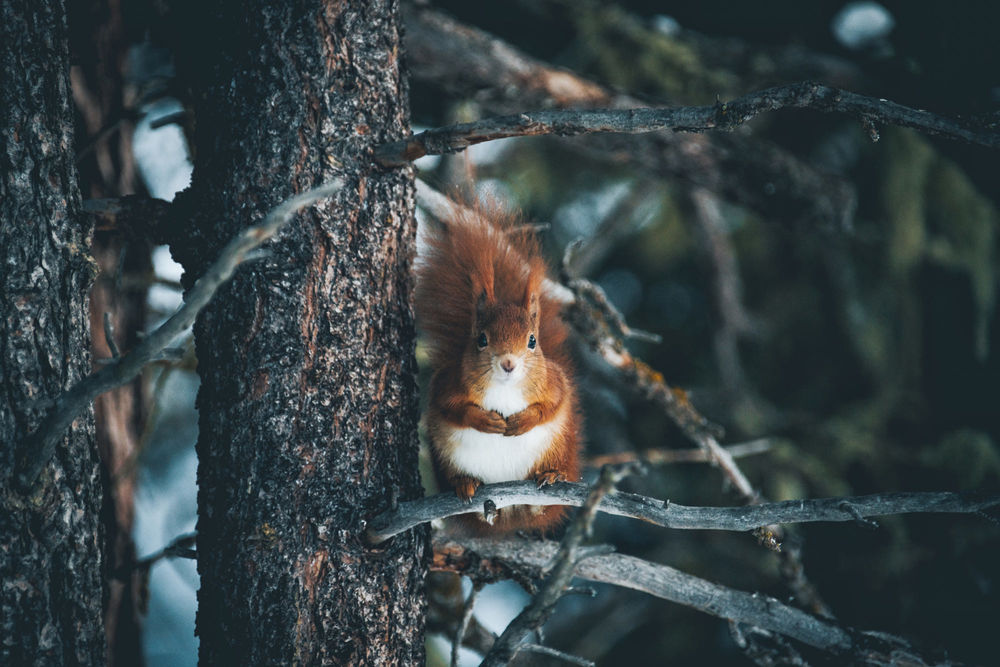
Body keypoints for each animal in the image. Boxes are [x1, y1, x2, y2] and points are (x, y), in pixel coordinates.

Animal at [418, 197, 584, 532]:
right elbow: (451, 408)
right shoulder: (447, 384)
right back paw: (464, 483)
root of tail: (510, 512)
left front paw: (523, 421)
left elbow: (552, 405)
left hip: (559, 449)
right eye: (481, 339)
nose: (508, 363)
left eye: (532, 341)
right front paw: (485, 420)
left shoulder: (554, 382)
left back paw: (551, 477)